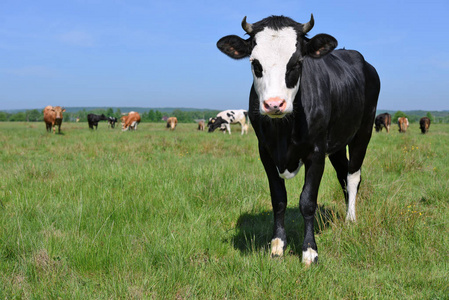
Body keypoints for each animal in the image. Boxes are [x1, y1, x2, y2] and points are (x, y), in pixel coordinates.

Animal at [217, 14, 378, 264]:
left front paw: (309, 251)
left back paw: (351, 219)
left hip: (364, 130)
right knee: (343, 174)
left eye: (297, 63)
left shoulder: (317, 152)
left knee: (353, 176)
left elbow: (308, 201)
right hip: (337, 143)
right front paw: (277, 245)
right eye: (255, 63)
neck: (283, 132)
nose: (274, 104)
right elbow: (279, 198)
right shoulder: (265, 152)